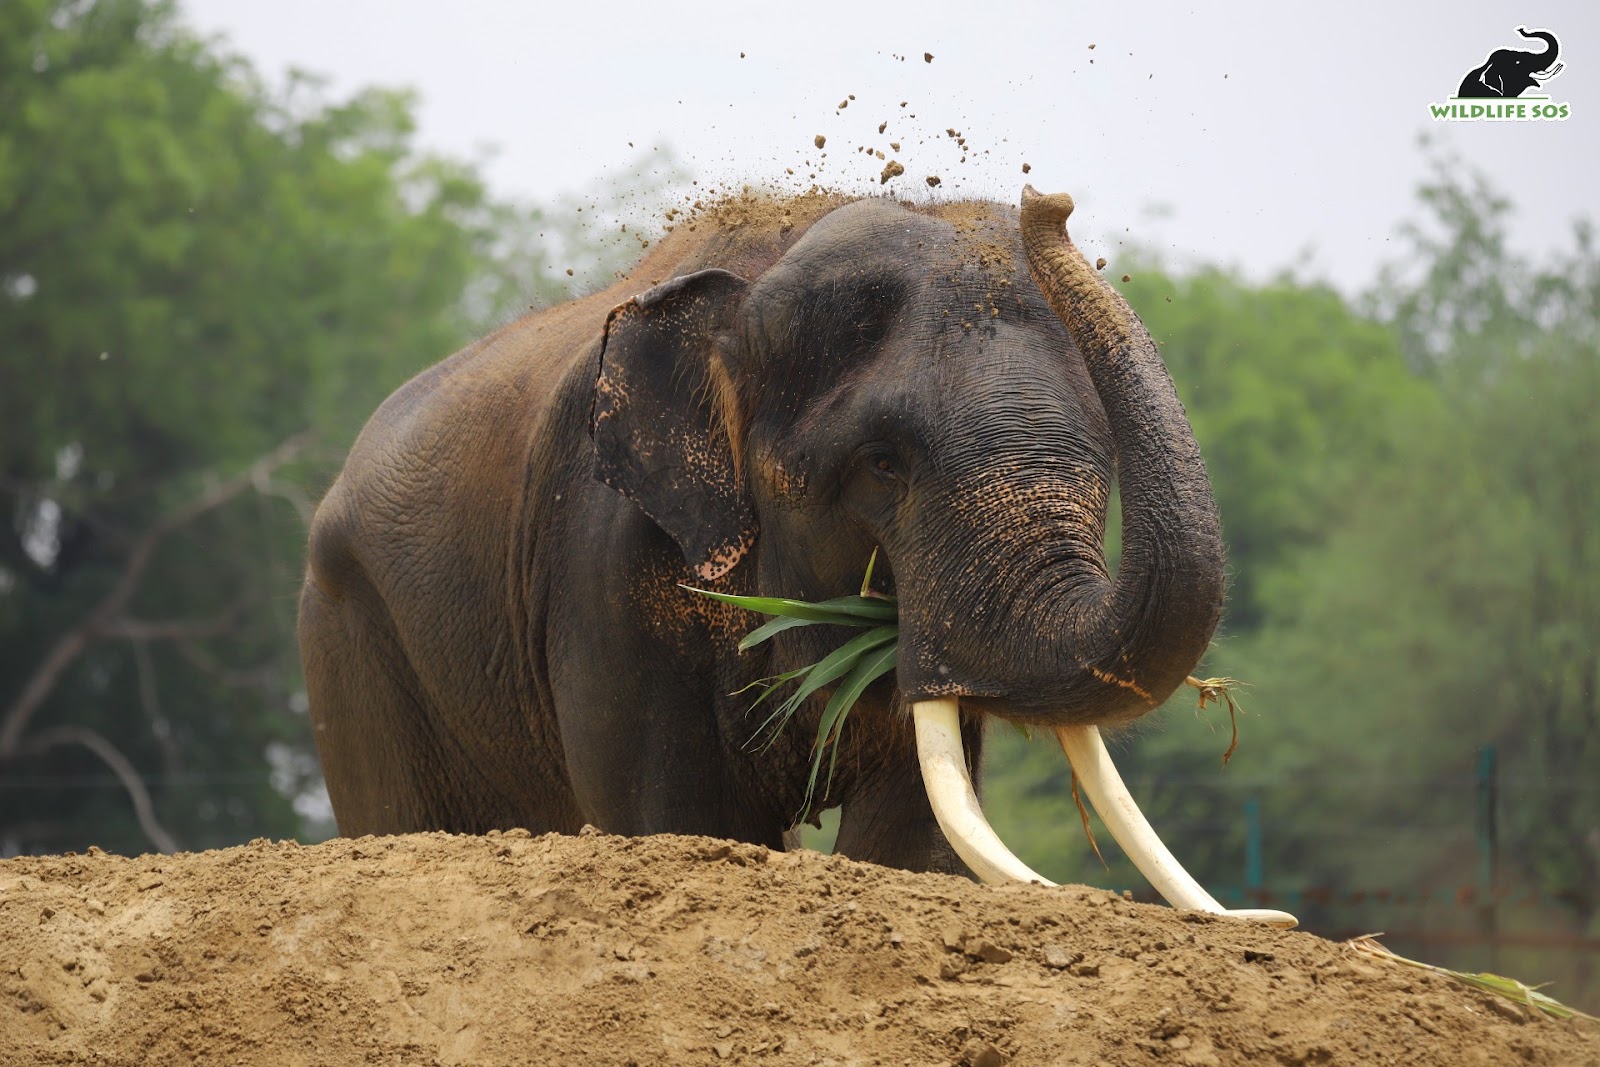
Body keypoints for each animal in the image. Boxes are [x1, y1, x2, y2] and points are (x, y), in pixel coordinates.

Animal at [300, 187, 1222, 883]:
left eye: (1102, 456)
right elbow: (680, 818)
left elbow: (911, 838)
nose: (1047, 202)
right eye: (883, 463)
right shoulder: (603, 561)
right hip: (353, 637)